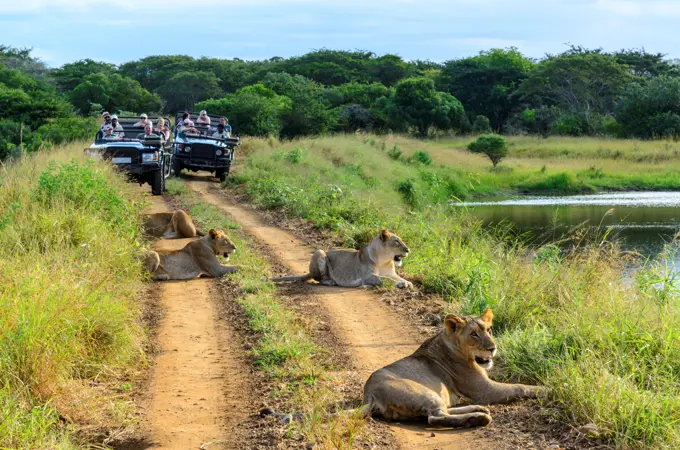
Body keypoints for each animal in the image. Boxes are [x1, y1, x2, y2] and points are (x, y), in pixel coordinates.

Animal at [268, 230, 412, 290]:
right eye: (397, 241)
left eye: (401, 240)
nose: (408, 250)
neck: (384, 260)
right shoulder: (367, 276)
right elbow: (384, 279)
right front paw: (400, 284)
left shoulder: (391, 273)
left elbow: (397, 278)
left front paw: (407, 283)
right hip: (320, 252)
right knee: (321, 280)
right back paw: (332, 282)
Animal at [362, 310, 548, 428]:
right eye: (473, 334)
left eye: (489, 330)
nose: (492, 348)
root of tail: (369, 394)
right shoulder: (485, 390)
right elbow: (519, 386)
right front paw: (546, 389)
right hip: (423, 392)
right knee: (435, 417)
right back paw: (477, 419)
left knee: (444, 410)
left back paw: (478, 409)